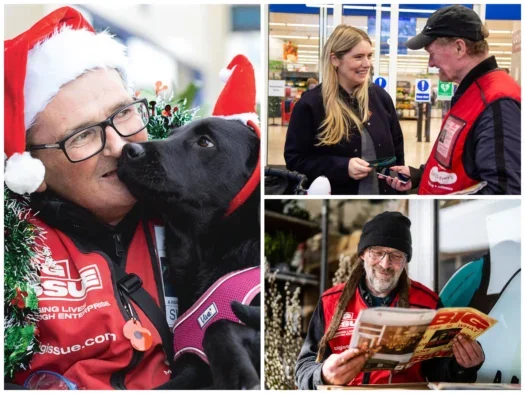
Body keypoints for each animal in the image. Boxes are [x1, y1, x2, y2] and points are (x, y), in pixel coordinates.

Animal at [116, 116, 260, 388]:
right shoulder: (192, 366)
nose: (128, 150)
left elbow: (218, 326)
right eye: (172, 133)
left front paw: (237, 375)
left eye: (205, 141)